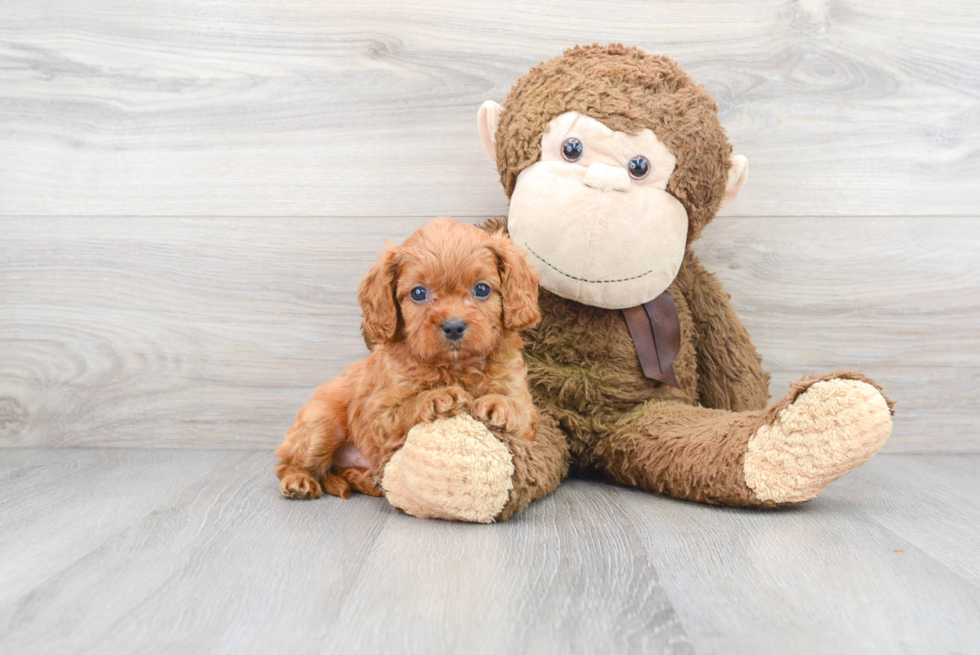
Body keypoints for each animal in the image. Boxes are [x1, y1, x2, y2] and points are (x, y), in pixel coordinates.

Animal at [274, 218, 544, 500]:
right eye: (418, 293)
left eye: (481, 289)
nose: (454, 327)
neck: (456, 366)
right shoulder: (379, 414)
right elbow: (404, 409)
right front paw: (438, 397)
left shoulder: (522, 401)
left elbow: (520, 411)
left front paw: (497, 404)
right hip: (322, 424)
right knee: (288, 463)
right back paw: (299, 480)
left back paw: (368, 480)